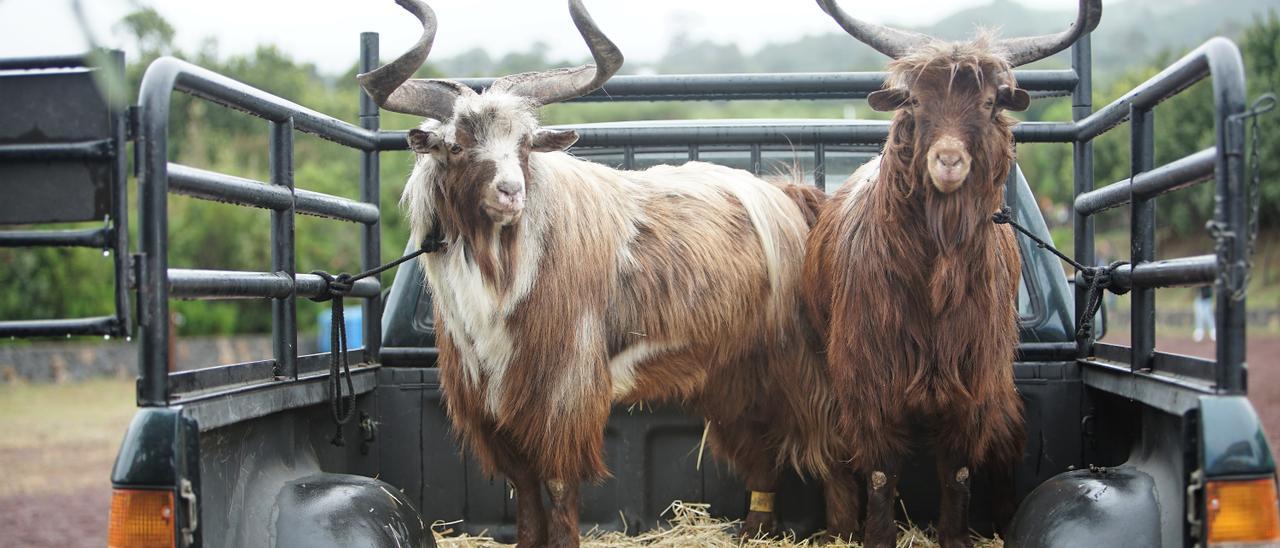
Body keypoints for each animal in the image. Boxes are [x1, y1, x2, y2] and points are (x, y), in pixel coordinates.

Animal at [360, 2, 855, 545]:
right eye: (455, 146)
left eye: (525, 144)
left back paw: (840, 533)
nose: (511, 192)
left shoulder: (562, 393)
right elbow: (523, 487)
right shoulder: (490, 402)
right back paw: (753, 532)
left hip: (798, 363)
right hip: (733, 372)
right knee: (760, 454)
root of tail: (796, 200)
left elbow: (557, 486)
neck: (504, 272)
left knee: (830, 447)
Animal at [808, 2, 1100, 545]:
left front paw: (956, 535)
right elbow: (880, 475)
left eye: (988, 103)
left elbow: (958, 474)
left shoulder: (975, 384)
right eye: (916, 101)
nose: (948, 161)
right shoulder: (870, 382)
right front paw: (875, 535)